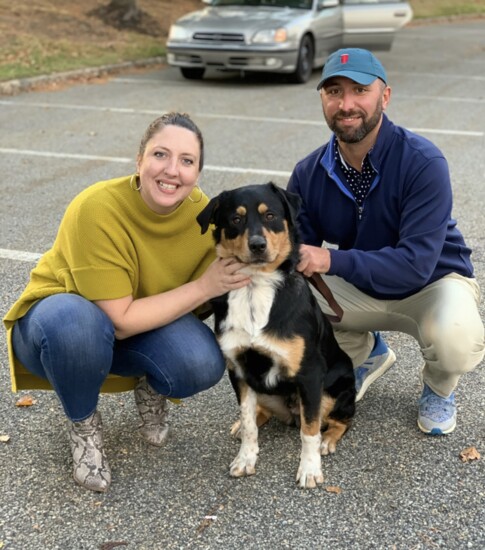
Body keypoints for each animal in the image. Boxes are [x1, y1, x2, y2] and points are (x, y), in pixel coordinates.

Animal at [197, 183, 356, 490]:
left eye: (269, 215)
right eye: (236, 219)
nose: (258, 245)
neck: (255, 287)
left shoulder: (309, 374)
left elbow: (310, 430)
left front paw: (309, 469)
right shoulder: (239, 370)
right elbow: (248, 422)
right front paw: (245, 458)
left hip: (335, 388)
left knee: (338, 420)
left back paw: (328, 440)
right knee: (260, 413)